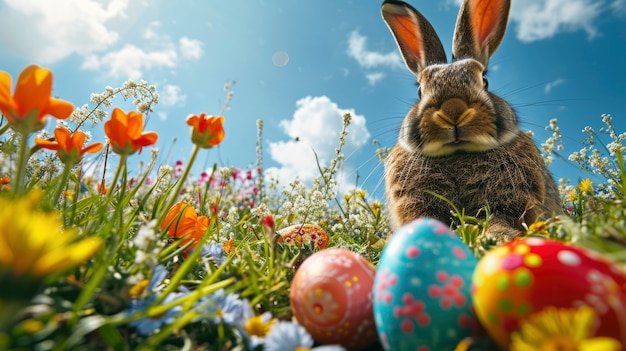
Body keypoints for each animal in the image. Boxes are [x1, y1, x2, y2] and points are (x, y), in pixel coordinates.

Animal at [380, 0, 560, 242]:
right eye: (419, 91)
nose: (453, 110)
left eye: (485, 80)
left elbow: (499, 217)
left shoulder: (510, 199)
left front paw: (496, 236)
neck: (458, 153)